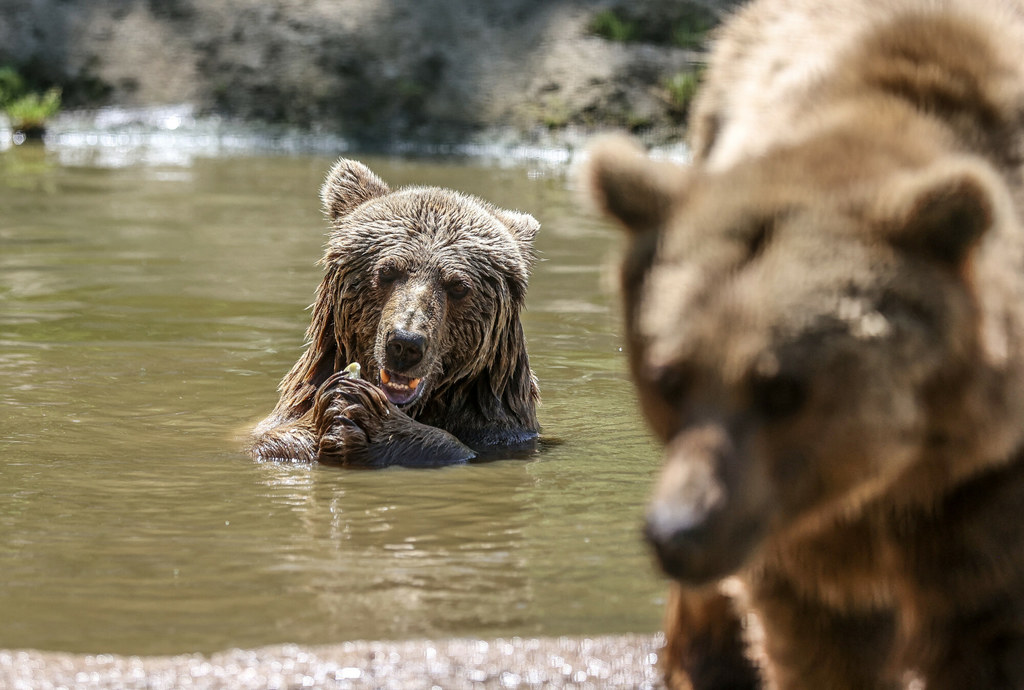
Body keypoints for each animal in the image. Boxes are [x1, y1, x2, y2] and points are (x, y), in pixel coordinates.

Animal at [589, 0, 1024, 683]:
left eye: (783, 389)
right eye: (668, 378)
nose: (677, 532)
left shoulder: (985, 488)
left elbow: (984, 628)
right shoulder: (788, 536)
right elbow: (822, 639)